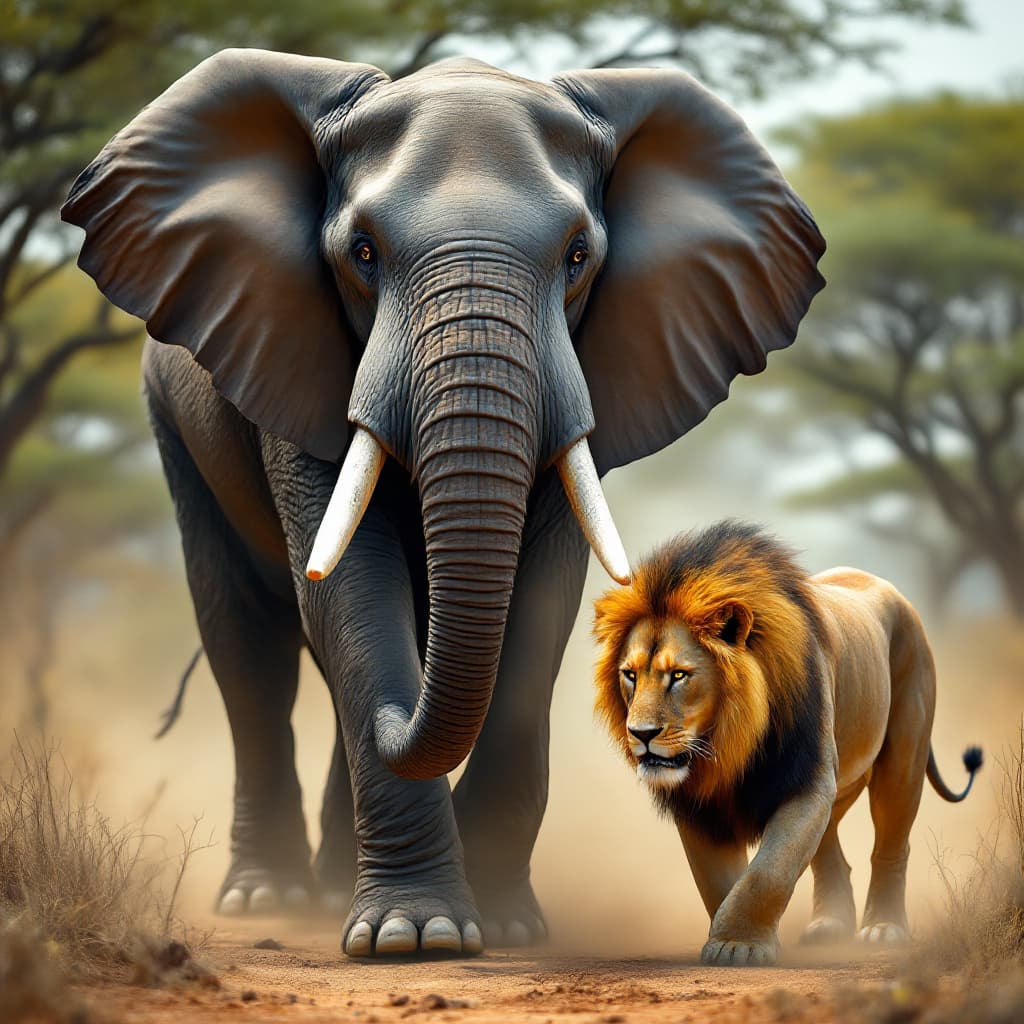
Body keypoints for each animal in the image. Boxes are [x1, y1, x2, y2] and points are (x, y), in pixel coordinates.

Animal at [61, 49, 825, 958]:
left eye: (578, 256)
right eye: (361, 252)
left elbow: (538, 607)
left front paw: (503, 924)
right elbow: (353, 598)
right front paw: (413, 935)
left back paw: (330, 885)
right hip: (174, 420)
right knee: (251, 643)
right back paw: (268, 896)